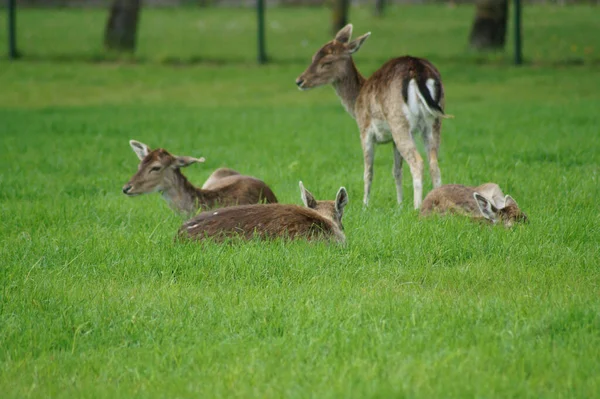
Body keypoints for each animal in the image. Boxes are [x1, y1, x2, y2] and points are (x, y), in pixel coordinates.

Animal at [296, 22, 450, 209]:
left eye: (327, 62)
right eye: (313, 57)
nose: (300, 81)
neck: (356, 102)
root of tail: (418, 71)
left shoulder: (365, 130)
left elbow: (368, 171)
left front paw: (365, 205)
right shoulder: (393, 139)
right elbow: (396, 170)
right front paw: (399, 205)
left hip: (399, 122)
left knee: (418, 162)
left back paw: (417, 207)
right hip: (434, 122)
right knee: (434, 163)